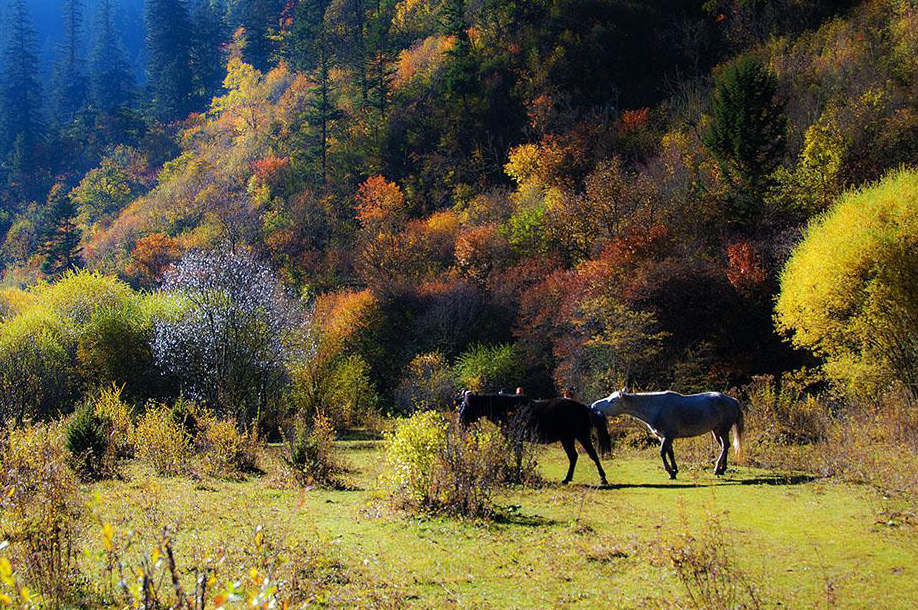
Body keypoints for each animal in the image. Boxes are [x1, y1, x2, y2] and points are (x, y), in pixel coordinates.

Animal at [458, 390, 616, 484]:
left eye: (467, 407)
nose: (460, 424)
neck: (508, 409)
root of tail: (585, 408)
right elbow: (514, 455)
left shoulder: (515, 439)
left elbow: (515, 456)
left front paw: (514, 474)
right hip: (567, 438)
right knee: (573, 456)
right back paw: (567, 479)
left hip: (581, 435)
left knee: (592, 454)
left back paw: (603, 478)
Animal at [588, 388, 748, 478]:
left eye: (612, 401)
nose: (593, 406)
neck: (656, 407)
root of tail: (732, 400)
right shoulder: (663, 437)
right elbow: (670, 452)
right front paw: (675, 470)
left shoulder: (669, 436)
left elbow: (661, 452)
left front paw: (670, 473)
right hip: (716, 431)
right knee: (725, 446)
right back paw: (722, 468)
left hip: (722, 429)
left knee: (725, 446)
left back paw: (717, 469)